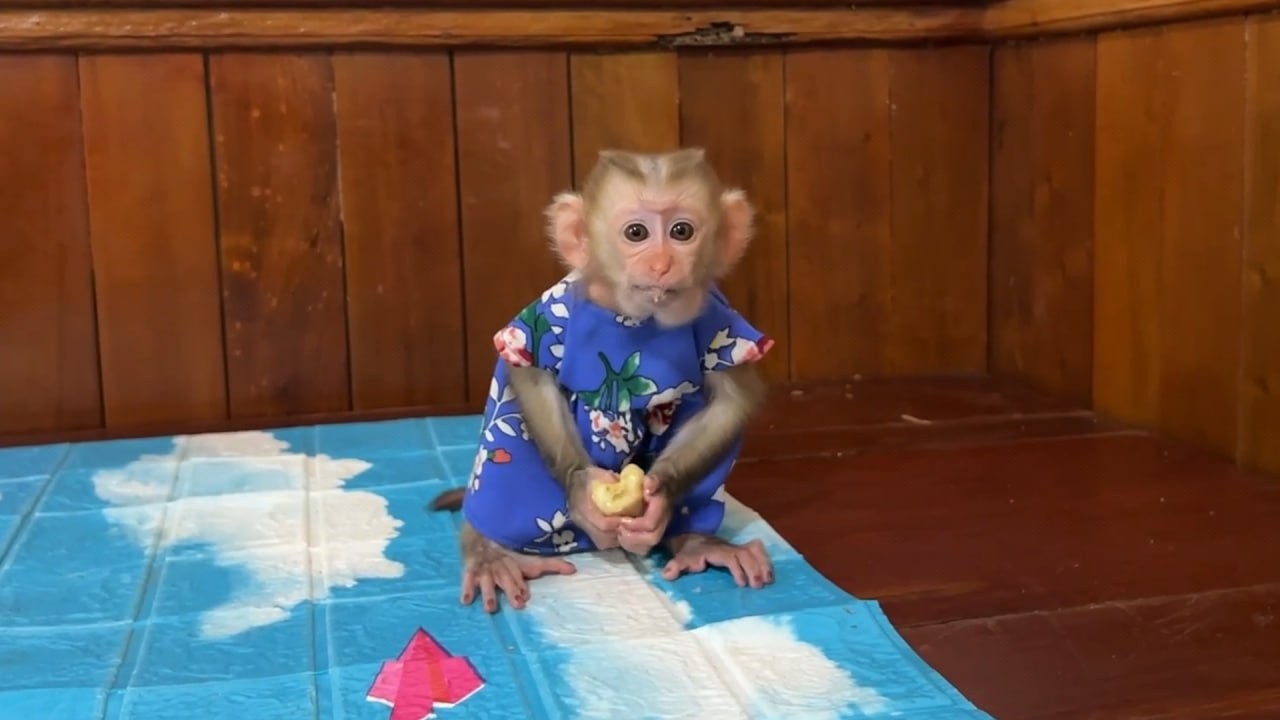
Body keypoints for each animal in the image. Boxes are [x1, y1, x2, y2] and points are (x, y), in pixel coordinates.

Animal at [429, 148, 775, 613]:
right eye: (636, 232)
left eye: (682, 231)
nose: (662, 264)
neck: (636, 319)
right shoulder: (549, 313)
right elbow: (529, 374)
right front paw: (580, 488)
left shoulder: (720, 317)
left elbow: (731, 399)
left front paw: (661, 497)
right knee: (509, 430)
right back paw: (492, 551)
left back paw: (695, 540)